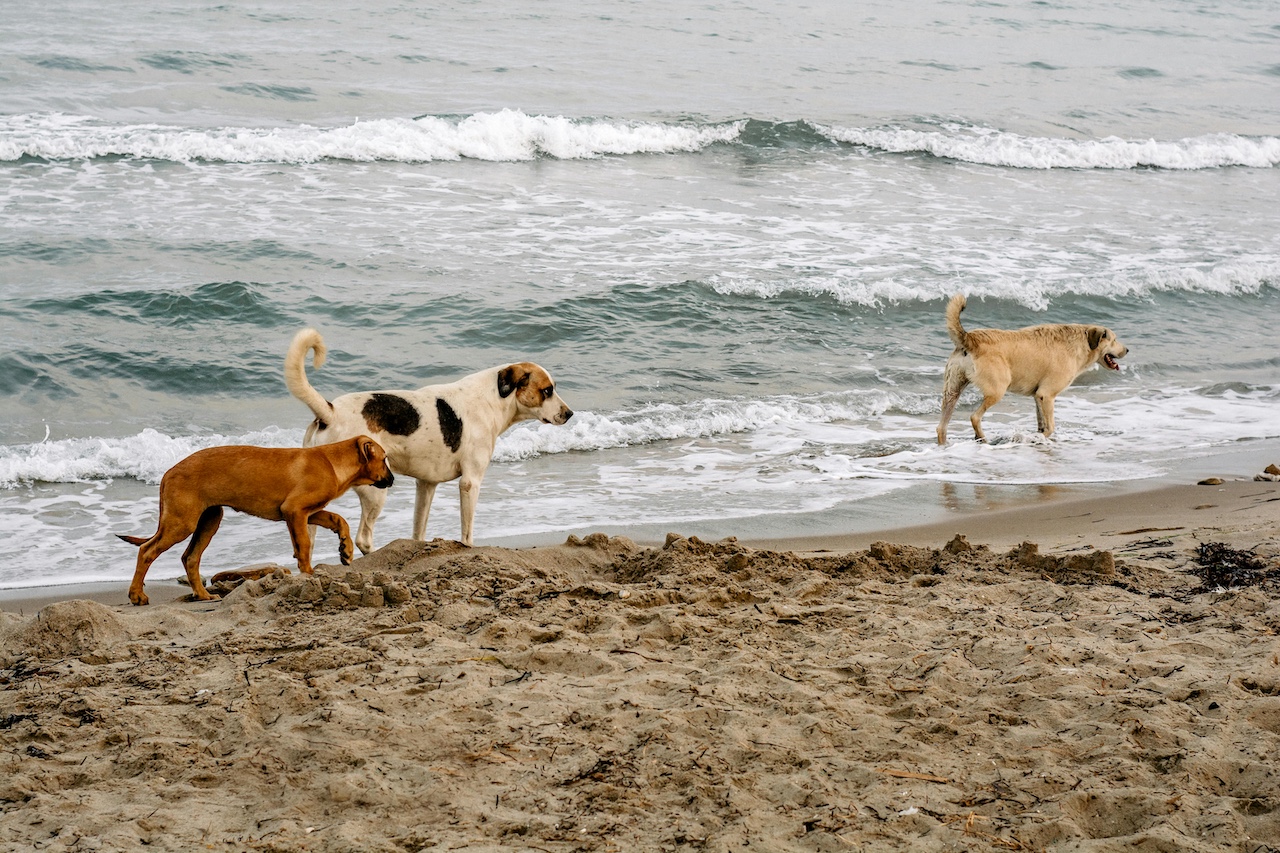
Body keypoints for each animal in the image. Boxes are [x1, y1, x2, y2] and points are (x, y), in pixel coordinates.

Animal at [117, 435, 391, 601]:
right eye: (385, 458)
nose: (392, 480)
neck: (332, 462)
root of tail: (168, 472)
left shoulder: (306, 512)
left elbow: (338, 519)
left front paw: (346, 549)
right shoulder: (295, 510)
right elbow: (304, 545)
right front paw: (309, 574)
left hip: (209, 519)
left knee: (190, 557)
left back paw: (203, 595)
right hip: (182, 522)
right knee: (147, 551)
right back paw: (136, 595)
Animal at [290, 325, 576, 550]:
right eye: (547, 391)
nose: (570, 413)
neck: (493, 397)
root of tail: (330, 412)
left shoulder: (426, 485)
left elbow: (418, 529)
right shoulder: (470, 483)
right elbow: (467, 533)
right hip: (375, 490)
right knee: (364, 539)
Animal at [936, 294, 1126, 445]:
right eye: (1114, 340)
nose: (1127, 350)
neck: (1081, 343)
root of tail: (970, 338)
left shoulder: (1038, 397)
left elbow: (1042, 425)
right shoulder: (1047, 395)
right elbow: (1050, 427)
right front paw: (1035, 438)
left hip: (952, 391)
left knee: (941, 427)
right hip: (997, 390)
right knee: (975, 417)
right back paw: (982, 439)